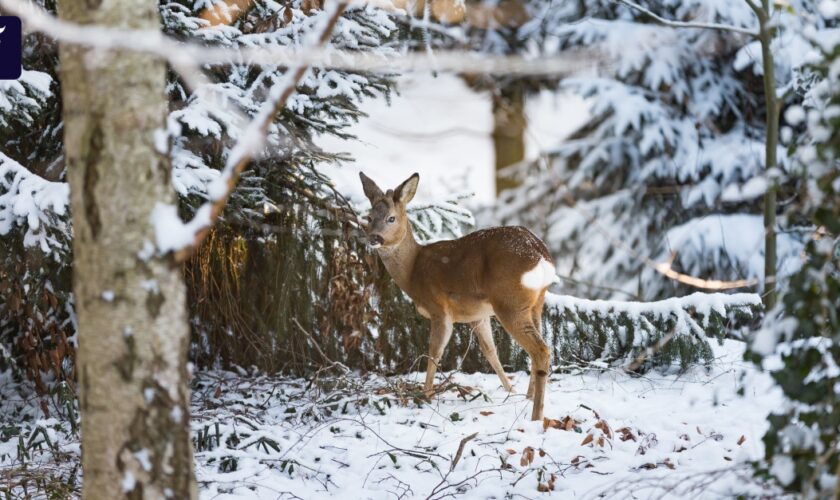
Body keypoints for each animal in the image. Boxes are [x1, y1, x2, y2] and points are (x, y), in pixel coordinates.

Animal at [358, 173, 556, 422]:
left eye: (391, 218)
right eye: (369, 217)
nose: (373, 238)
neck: (413, 271)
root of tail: (540, 253)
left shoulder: (439, 308)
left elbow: (434, 352)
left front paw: (425, 396)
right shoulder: (477, 314)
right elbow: (491, 353)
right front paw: (510, 391)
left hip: (510, 302)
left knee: (541, 350)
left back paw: (536, 416)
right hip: (535, 303)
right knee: (539, 346)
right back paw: (528, 397)